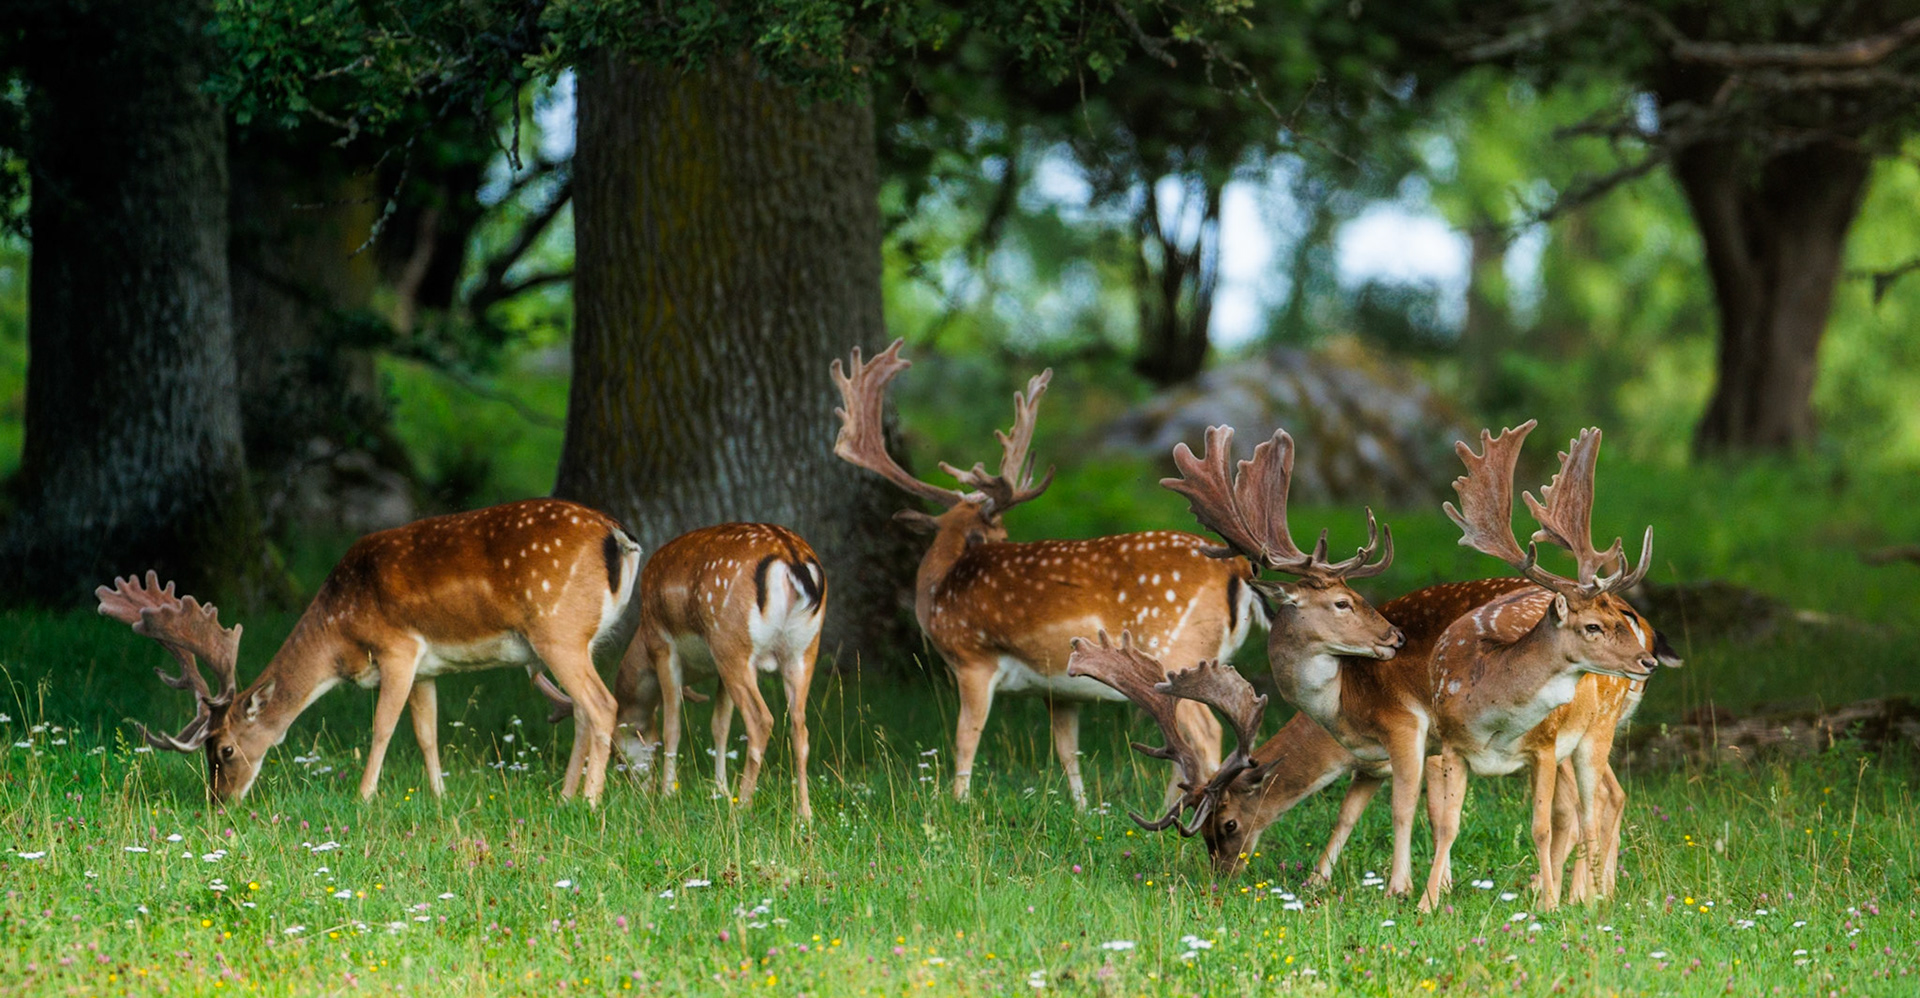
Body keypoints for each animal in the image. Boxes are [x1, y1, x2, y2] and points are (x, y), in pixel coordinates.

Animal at [98, 498, 642, 804]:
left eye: (225, 749)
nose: (219, 801)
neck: (340, 630)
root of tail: (616, 535)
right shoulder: (427, 669)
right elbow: (426, 733)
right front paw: (439, 797)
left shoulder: (398, 648)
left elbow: (382, 727)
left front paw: (364, 798)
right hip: (581, 639)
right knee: (582, 712)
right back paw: (565, 797)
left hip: (558, 629)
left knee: (602, 705)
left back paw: (589, 802)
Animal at [539, 523, 827, 820]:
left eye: (617, 749)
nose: (640, 789)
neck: (642, 638)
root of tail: (791, 558)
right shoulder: (719, 669)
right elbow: (719, 725)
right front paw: (721, 791)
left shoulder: (664, 647)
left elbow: (672, 726)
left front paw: (668, 794)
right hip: (801, 651)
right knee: (800, 728)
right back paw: (804, 813)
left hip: (733, 642)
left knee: (761, 720)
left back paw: (743, 808)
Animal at [830, 340, 1264, 807]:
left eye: (996, 534)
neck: (938, 591)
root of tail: (1238, 566)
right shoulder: (1056, 690)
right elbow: (1067, 750)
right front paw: (1083, 808)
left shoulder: (973, 658)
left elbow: (965, 738)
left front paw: (957, 802)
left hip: (1175, 650)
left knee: (1207, 734)